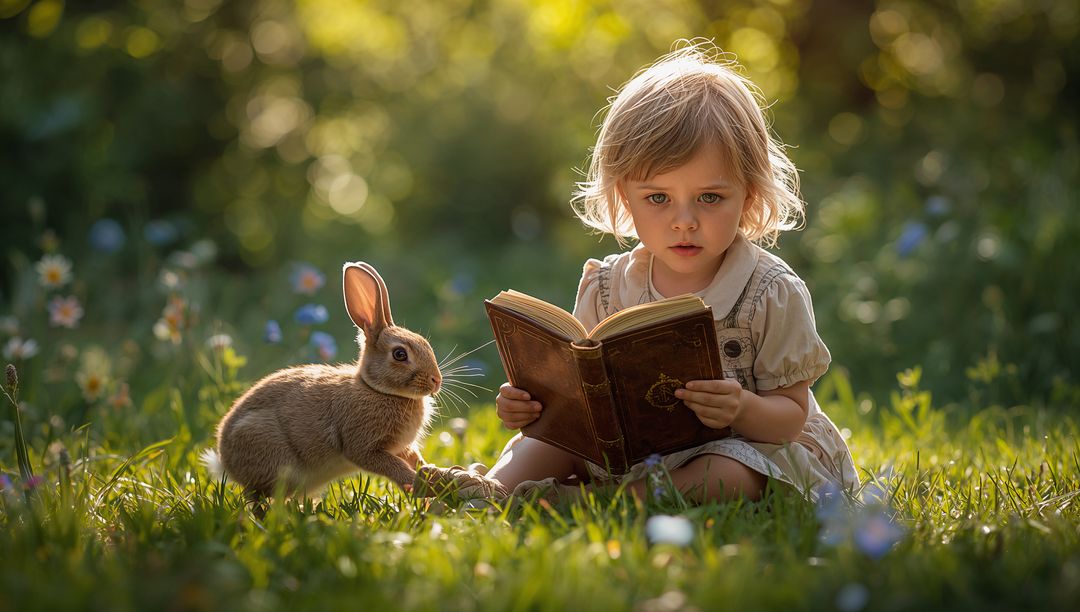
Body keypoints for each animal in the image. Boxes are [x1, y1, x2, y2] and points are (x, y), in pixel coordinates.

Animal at [209, 261, 442, 500]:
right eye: (400, 354)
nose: (436, 381)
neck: (377, 390)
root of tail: (224, 461)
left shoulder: (401, 447)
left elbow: (413, 456)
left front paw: (432, 471)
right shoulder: (363, 446)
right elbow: (391, 465)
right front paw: (420, 485)